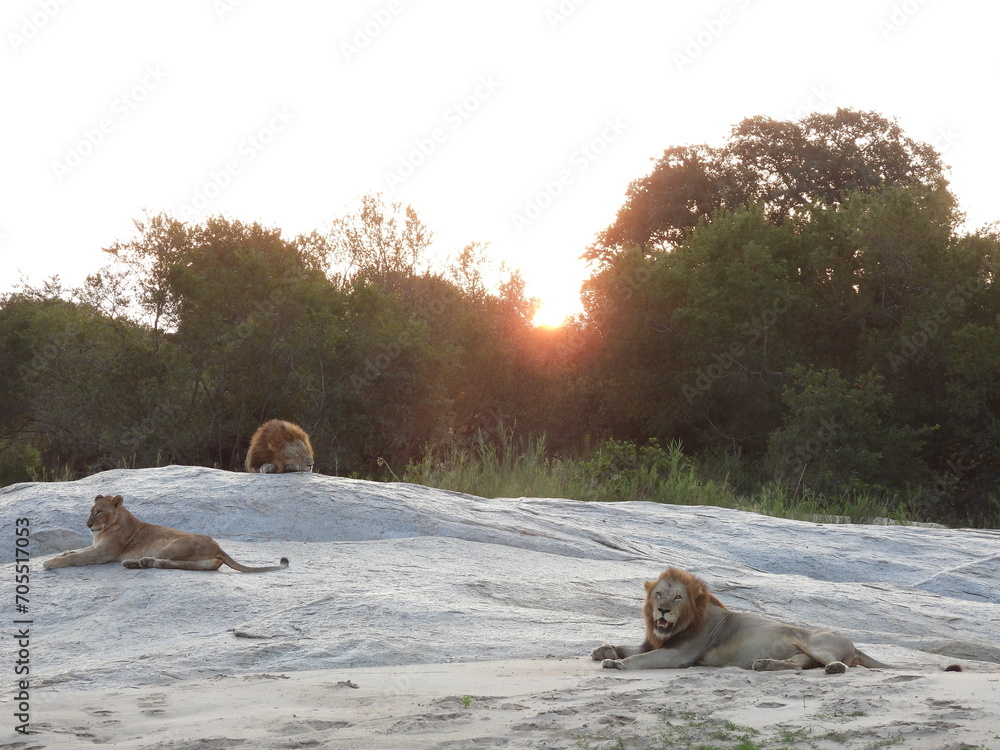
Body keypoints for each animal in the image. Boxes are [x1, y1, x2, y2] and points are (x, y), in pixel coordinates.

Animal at [43, 495, 289, 573]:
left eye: (99, 511)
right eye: (90, 510)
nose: (87, 524)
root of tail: (218, 547)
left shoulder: (103, 553)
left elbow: (78, 557)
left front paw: (50, 563)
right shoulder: (96, 547)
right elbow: (75, 551)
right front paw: (61, 553)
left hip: (174, 544)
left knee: (159, 561)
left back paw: (136, 562)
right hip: (196, 562)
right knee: (173, 564)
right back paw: (139, 563)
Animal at [591, 567, 892, 674]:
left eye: (678, 597)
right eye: (659, 594)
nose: (662, 611)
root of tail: (854, 644)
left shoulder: (679, 654)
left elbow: (640, 658)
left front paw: (616, 663)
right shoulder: (655, 642)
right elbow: (629, 647)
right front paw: (603, 651)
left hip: (817, 644)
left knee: (837, 663)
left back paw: (834, 669)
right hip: (802, 654)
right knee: (797, 665)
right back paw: (765, 664)